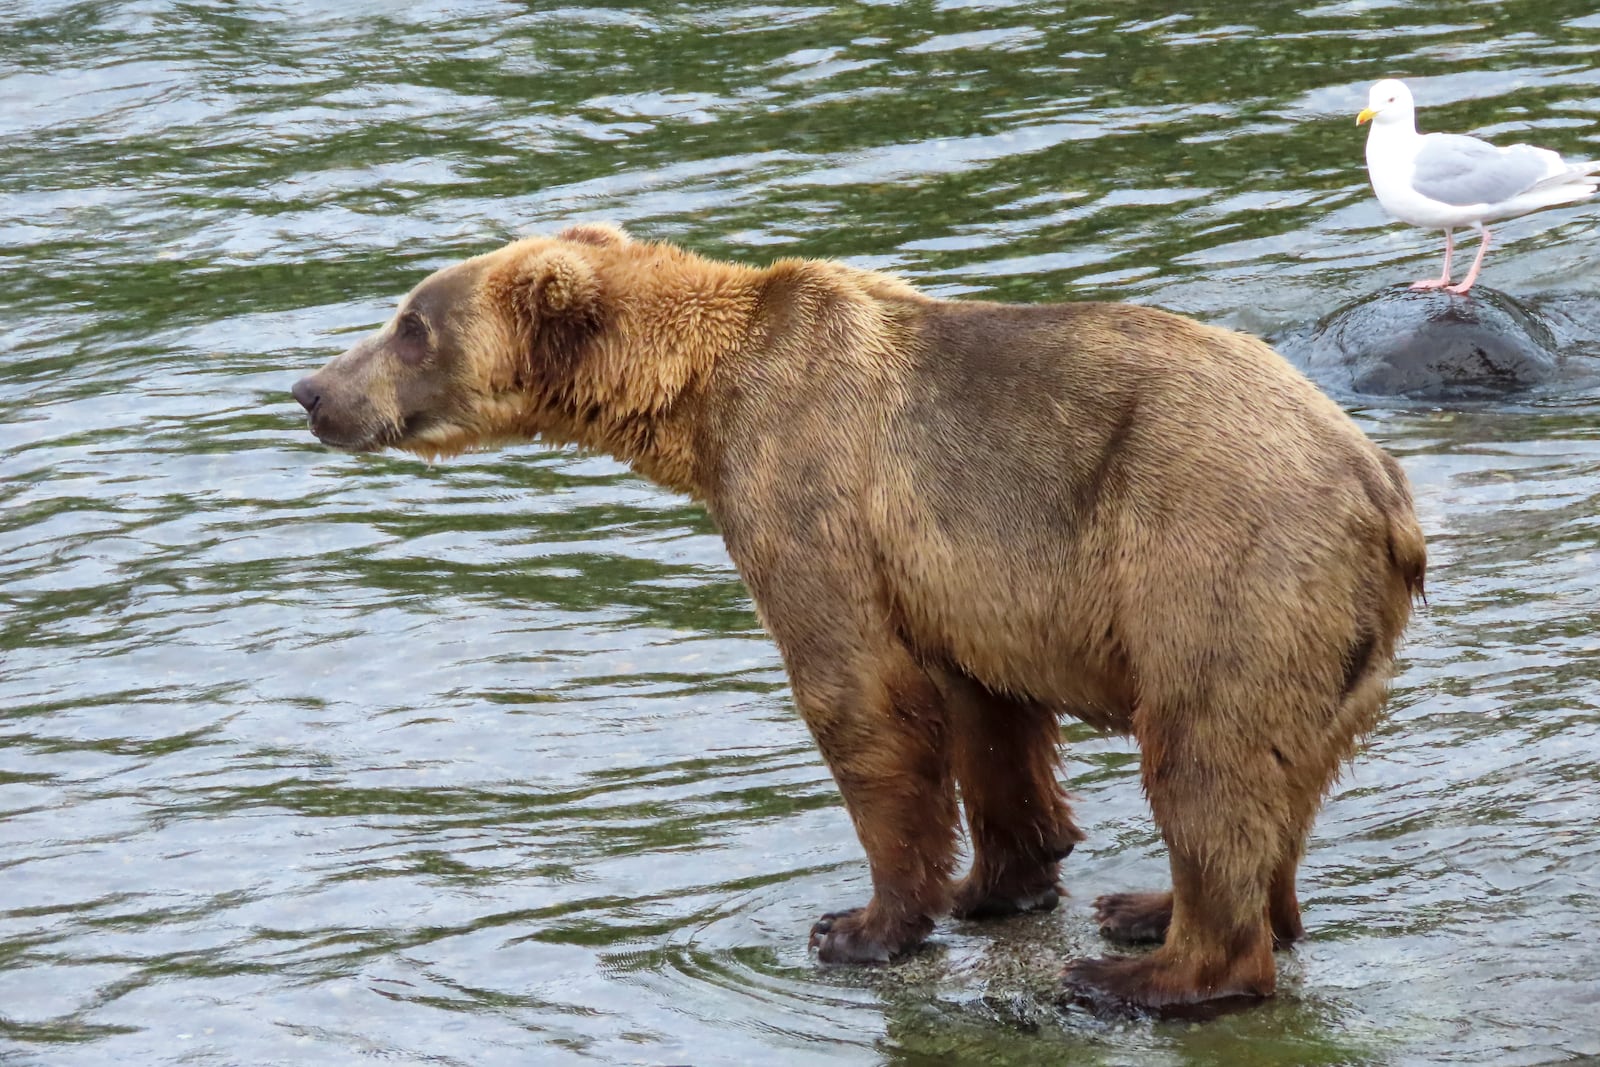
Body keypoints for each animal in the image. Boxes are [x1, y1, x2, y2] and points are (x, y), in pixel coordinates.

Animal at [291, 223, 1427, 1011]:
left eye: (410, 325)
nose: (309, 388)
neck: (699, 406)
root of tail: (1383, 493)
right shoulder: (955, 573)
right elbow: (987, 717)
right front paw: (1001, 878)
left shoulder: (808, 486)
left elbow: (860, 699)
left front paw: (859, 923)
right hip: (1330, 633)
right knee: (1280, 778)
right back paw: (1154, 907)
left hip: (1217, 563)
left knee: (1204, 756)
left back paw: (1144, 971)